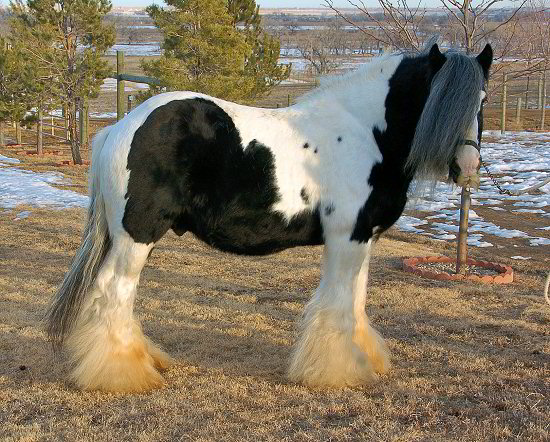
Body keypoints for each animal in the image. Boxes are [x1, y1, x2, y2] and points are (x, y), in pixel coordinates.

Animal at [47, 43, 496, 392]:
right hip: (136, 236)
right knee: (112, 293)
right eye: (439, 101)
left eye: (484, 100)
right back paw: (122, 376)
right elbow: (337, 306)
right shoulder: (345, 237)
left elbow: (356, 300)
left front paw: (366, 358)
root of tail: (120, 128)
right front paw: (338, 372)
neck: (364, 133)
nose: (468, 167)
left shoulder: (363, 238)